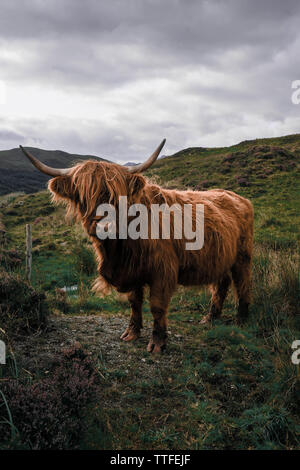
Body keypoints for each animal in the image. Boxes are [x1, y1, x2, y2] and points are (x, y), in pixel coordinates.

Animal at [19, 141, 253, 354]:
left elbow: (157, 305)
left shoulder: (162, 270)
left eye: (116, 196)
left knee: (242, 284)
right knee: (221, 285)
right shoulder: (131, 272)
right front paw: (131, 333)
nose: (104, 226)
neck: (118, 250)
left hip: (243, 257)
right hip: (221, 258)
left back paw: (241, 320)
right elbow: (134, 302)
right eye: (83, 197)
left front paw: (157, 343)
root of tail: (237, 196)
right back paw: (210, 318)